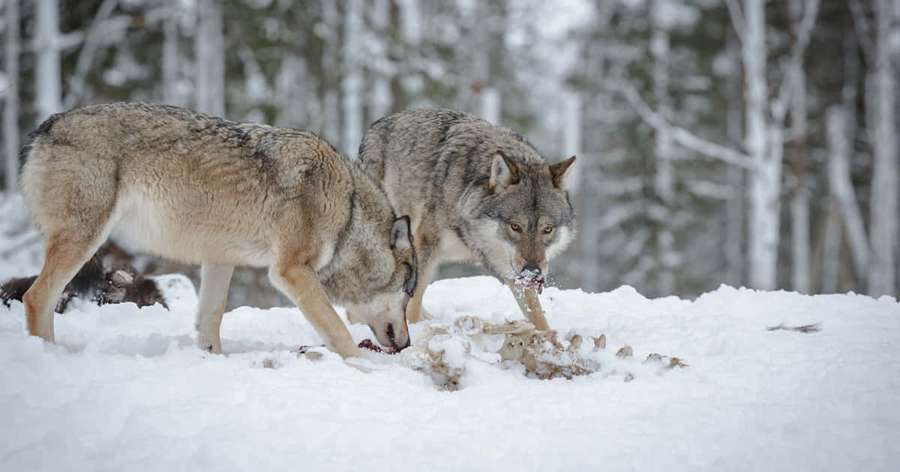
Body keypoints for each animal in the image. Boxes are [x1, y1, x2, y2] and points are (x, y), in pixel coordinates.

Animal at [19, 103, 416, 357]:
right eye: (408, 293)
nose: (409, 344)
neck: (348, 211)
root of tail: (48, 124)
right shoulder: (291, 271)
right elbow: (337, 329)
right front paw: (367, 369)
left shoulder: (220, 260)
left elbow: (210, 319)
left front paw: (213, 360)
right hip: (85, 239)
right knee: (36, 297)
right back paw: (48, 356)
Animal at [358, 108, 575, 330]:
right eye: (515, 226)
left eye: (547, 229)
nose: (533, 271)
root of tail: (379, 123)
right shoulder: (426, 244)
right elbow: (413, 302)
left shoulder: (512, 269)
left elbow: (536, 314)